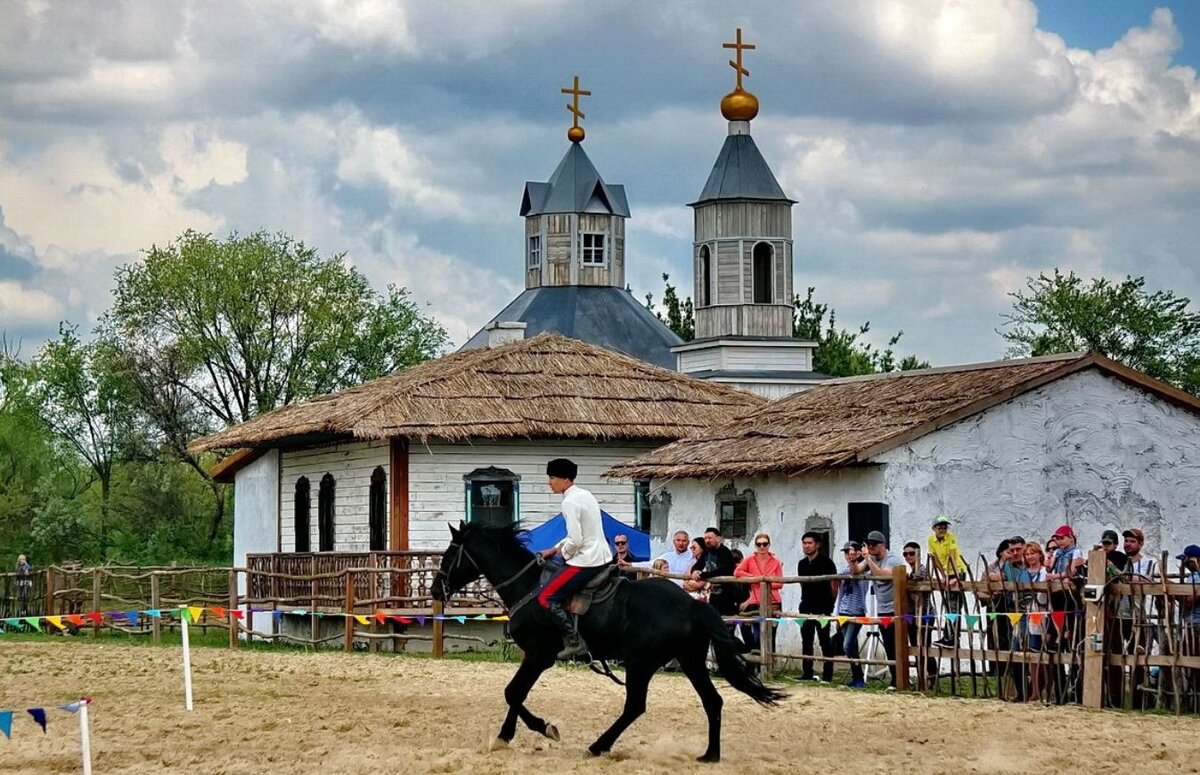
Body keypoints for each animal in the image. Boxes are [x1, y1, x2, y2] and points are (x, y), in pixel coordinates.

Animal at [434, 523, 787, 763]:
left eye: (450, 554)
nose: (437, 589)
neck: (529, 587)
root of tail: (692, 605)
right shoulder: (533, 656)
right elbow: (515, 694)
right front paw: (505, 736)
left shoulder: (538, 655)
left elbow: (513, 692)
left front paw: (543, 728)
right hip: (690, 660)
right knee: (712, 701)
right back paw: (710, 754)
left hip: (641, 663)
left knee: (635, 706)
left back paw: (598, 745)